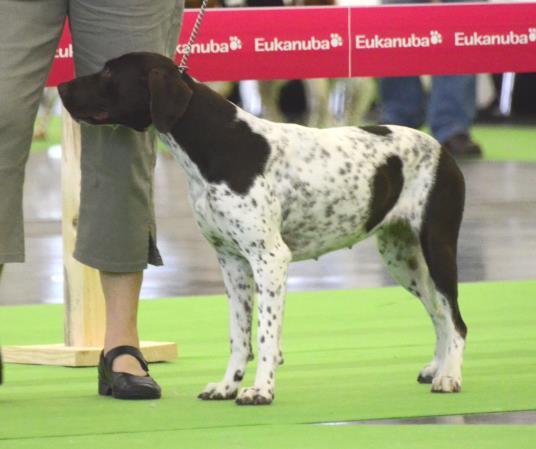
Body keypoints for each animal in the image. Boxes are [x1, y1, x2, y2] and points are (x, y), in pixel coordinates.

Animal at [59, 52, 468, 406]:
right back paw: (437, 368)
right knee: (438, 314)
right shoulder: (232, 262)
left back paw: (450, 376)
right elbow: (239, 337)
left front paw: (260, 391)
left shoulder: (269, 259)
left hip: (438, 246)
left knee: (456, 321)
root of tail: (443, 150)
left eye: (110, 73)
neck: (215, 142)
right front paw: (227, 386)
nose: (61, 87)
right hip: (402, 258)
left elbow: (266, 335)